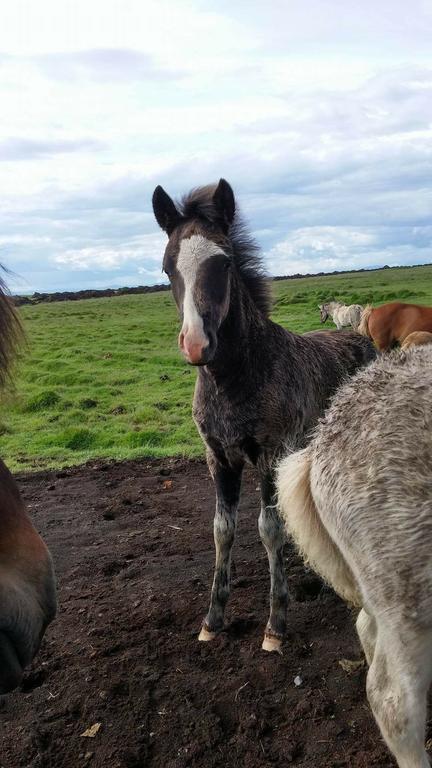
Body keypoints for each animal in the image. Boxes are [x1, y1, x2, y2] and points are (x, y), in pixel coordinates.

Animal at [153, 182, 374, 656]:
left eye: (224, 261)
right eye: (167, 266)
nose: (196, 344)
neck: (236, 378)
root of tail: (363, 337)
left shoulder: (270, 456)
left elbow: (269, 528)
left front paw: (276, 625)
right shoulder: (219, 459)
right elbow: (222, 530)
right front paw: (212, 620)